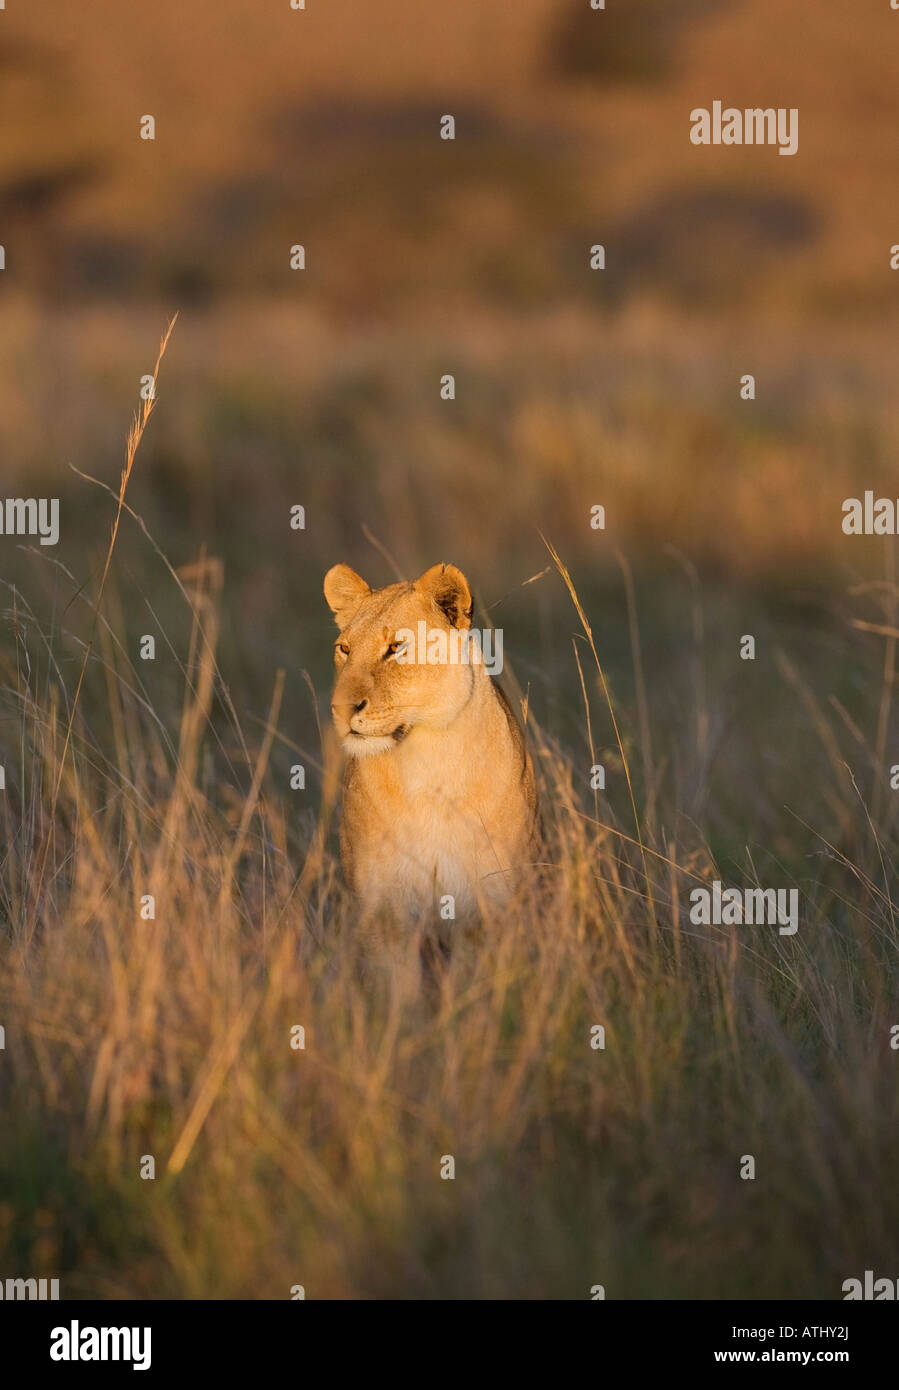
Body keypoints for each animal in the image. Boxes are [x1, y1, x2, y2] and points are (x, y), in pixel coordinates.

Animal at [323, 561, 539, 922]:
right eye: (345, 649)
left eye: (395, 648)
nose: (340, 708)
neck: (426, 758)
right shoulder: (379, 907)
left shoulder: (496, 897)